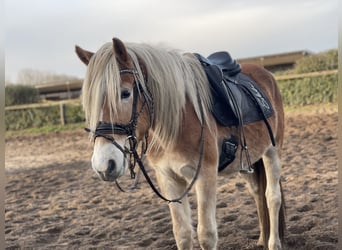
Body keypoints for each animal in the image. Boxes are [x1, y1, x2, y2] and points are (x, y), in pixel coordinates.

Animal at [75, 37, 286, 250]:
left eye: (125, 93)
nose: (104, 166)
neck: (177, 123)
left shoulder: (205, 176)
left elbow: (206, 235)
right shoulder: (168, 178)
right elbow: (182, 233)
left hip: (272, 151)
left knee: (272, 197)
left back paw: (273, 242)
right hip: (246, 162)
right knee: (257, 193)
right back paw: (262, 238)